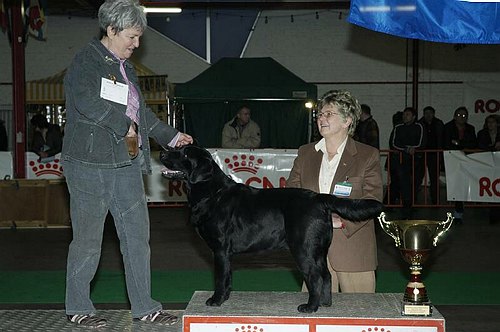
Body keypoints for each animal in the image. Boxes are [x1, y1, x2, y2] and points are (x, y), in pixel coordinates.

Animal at [160, 144, 382, 312]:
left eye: (185, 154)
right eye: (177, 149)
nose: (162, 153)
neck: (212, 192)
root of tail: (318, 198)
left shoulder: (220, 249)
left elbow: (220, 277)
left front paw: (216, 300)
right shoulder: (226, 253)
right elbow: (228, 276)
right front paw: (226, 297)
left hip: (303, 248)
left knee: (315, 276)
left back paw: (310, 307)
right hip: (318, 249)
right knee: (326, 274)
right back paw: (325, 303)